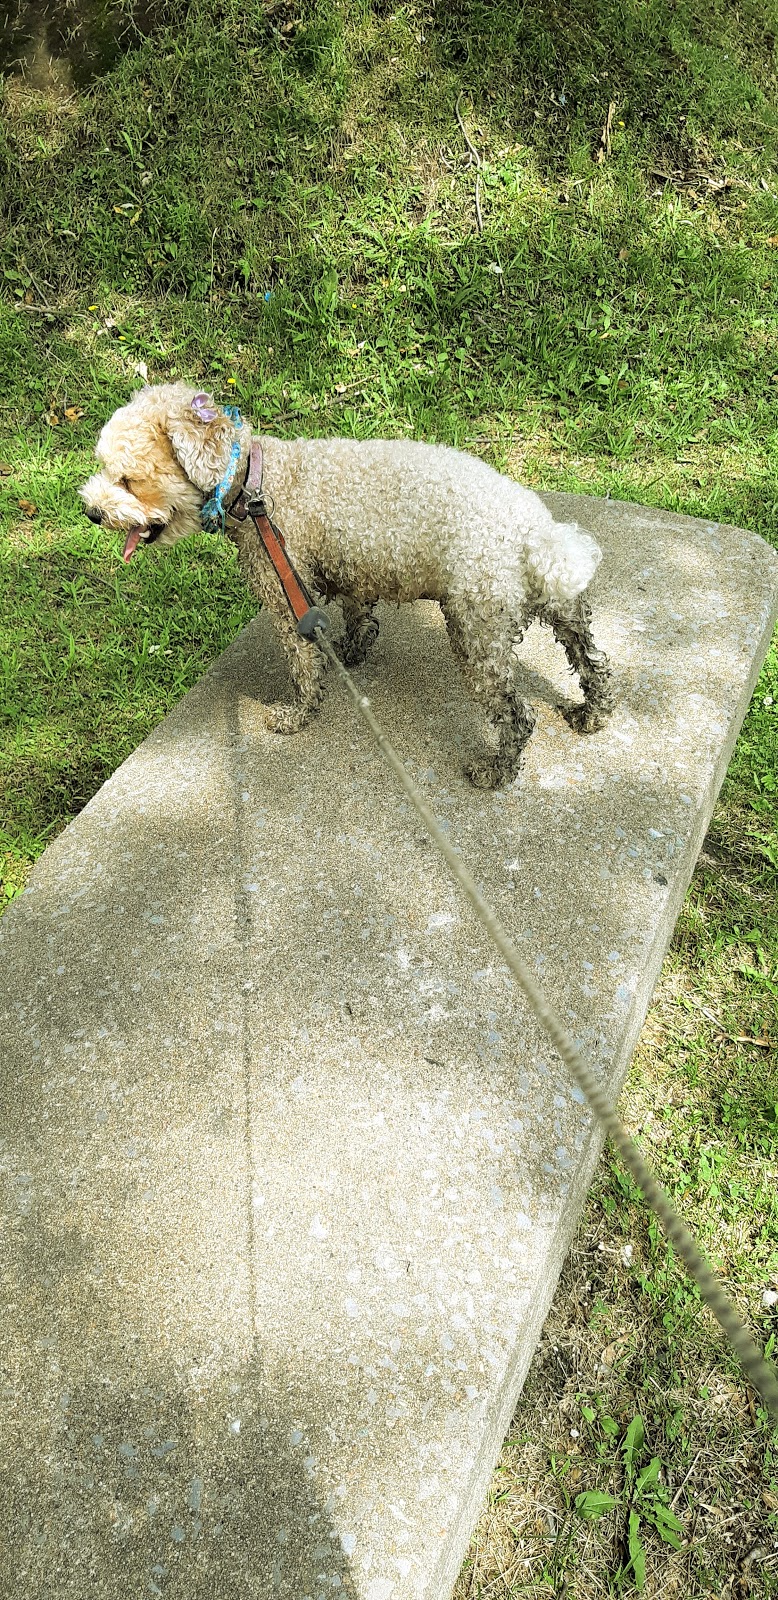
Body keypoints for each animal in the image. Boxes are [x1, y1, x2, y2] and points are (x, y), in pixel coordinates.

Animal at [80, 387, 614, 787]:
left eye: (127, 480)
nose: (90, 511)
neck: (257, 482)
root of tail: (535, 535)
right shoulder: (351, 570)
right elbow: (359, 616)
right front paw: (352, 652)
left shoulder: (284, 595)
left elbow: (302, 667)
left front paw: (298, 715)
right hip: (560, 608)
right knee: (592, 661)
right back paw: (594, 713)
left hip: (476, 630)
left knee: (517, 715)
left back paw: (496, 770)